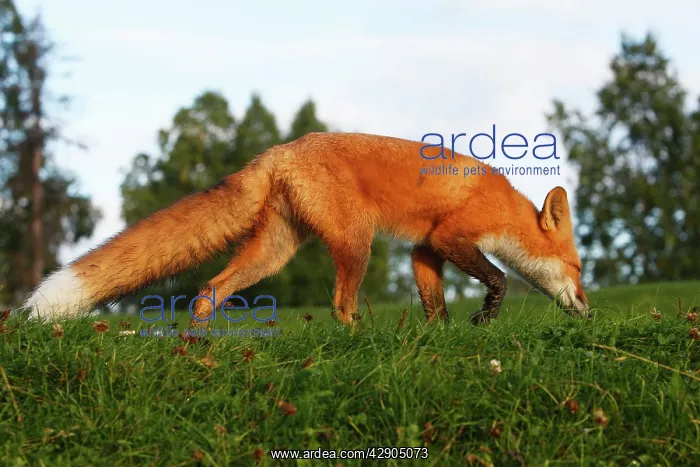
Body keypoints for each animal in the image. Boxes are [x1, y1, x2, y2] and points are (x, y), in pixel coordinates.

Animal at [21, 132, 589, 326]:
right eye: (579, 268)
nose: (589, 310)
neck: (502, 205)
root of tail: (279, 150)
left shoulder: (425, 249)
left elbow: (435, 305)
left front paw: (442, 338)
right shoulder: (452, 237)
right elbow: (501, 279)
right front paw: (484, 319)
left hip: (274, 252)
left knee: (209, 291)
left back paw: (200, 345)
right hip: (356, 243)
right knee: (340, 304)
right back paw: (361, 343)